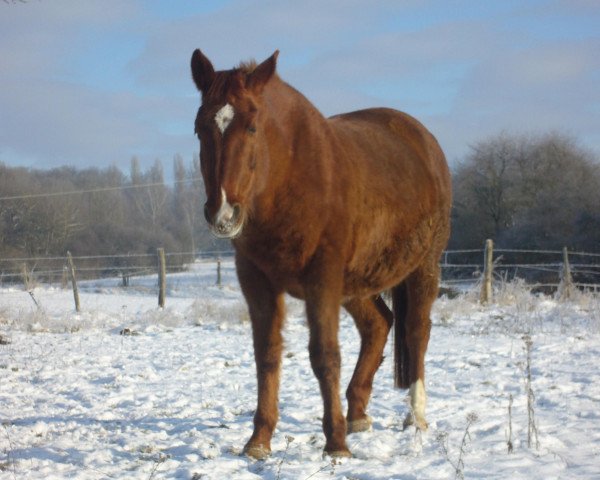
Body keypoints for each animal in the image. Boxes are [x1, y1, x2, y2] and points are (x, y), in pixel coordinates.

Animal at [191, 47, 450, 458]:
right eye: (200, 128)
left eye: (252, 127)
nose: (223, 213)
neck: (292, 178)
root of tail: (423, 141)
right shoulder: (257, 282)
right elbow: (267, 354)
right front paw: (259, 440)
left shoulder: (322, 279)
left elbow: (325, 355)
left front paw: (336, 444)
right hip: (358, 283)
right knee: (378, 325)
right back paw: (357, 414)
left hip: (424, 266)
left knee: (415, 332)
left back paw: (415, 417)